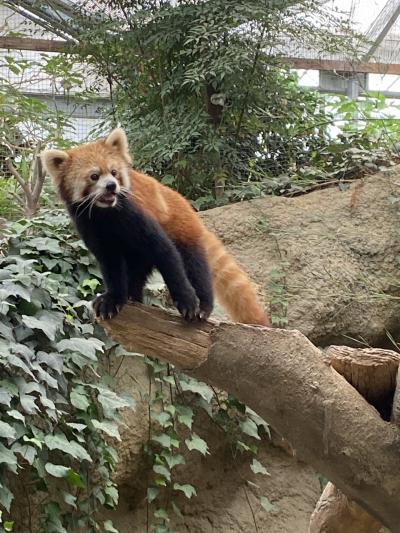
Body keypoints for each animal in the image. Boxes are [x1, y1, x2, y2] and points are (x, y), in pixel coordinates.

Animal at [41, 130, 268, 324]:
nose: (111, 186)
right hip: (138, 256)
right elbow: (110, 265)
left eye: (114, 172)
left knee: (194, 264)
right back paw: (133, 297)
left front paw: (187, 301)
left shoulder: (133, 214)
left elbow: (165, 252)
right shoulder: (90, 227)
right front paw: (113, 299)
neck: (104, 214)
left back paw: (203, 305)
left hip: (183, 229)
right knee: (136, 270)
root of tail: (188, 208)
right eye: (94, 176)